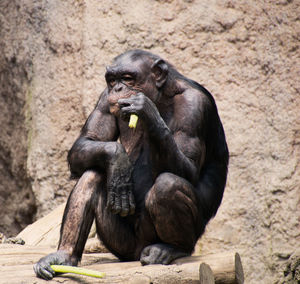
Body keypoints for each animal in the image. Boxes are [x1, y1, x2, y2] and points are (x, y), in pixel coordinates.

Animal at [34, 48, 229, 280]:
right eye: (112, 80)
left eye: (128, 78)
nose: (118, 88)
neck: (162, 95)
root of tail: (137, 253)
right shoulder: (104, 99)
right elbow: (87, 141)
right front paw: (118, 160)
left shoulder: (195, 105)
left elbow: (189, 168)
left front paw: (146, 111)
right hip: (121, 244)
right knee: (93, 172)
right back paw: (63, 256)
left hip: (161, 238)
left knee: (168, 185)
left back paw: (170, 248)